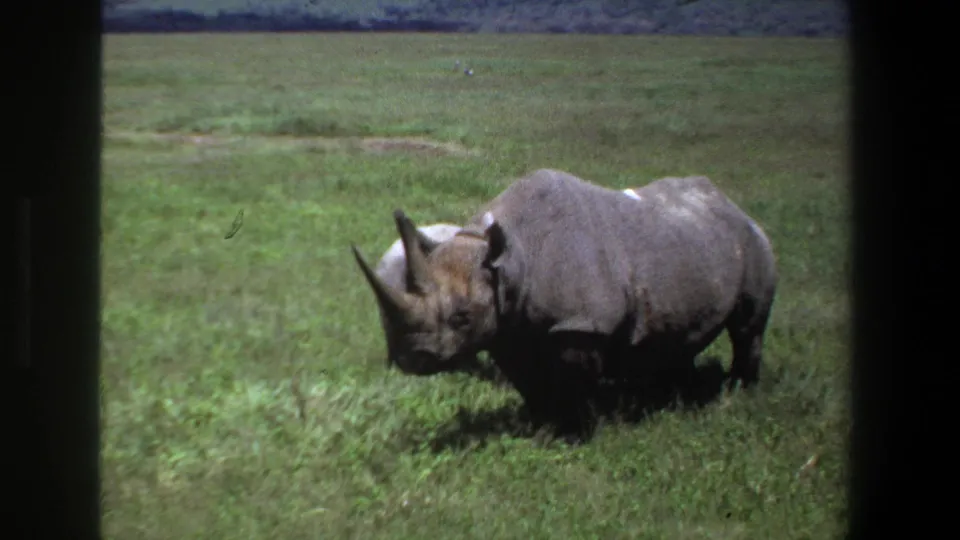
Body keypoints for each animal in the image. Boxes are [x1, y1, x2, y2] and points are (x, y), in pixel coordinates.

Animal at [351, 170, 778, 440]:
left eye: (462, 317)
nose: (412, 359)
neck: (509, 260)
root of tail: (734, 205)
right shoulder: (509, 326)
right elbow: (528, 382)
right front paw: (540, 427)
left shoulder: (581, 323)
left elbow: (575, 383)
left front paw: (577, 435)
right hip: (690, 245)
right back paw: (673, 395)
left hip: (754, 242)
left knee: (747, 328)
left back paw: (737, 394)